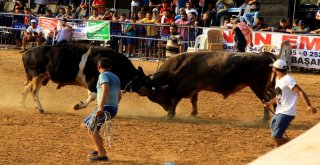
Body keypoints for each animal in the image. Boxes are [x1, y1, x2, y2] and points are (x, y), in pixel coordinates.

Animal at [21, 43, 152, 113]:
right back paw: (40, 109)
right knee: (34, 91)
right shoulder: (92, 81)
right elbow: (92, 96)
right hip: (37, 76)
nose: (148, 90)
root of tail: (27, 52)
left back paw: (23, 104)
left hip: (39, 76)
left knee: (26, 90)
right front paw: (78, 106)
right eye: (144, 79)